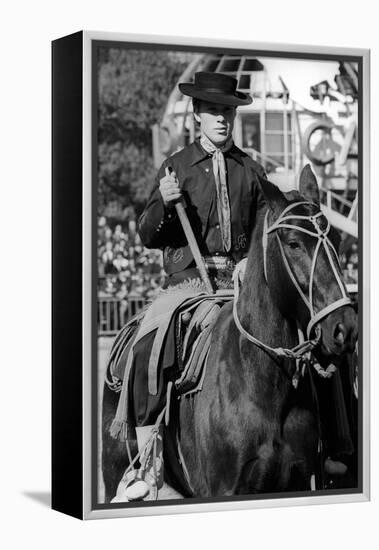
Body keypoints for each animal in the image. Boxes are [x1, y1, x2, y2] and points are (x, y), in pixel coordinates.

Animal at [101, 166, 360, 502]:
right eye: (293, 243)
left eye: (338, 240)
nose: (345, 326)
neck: (263, 382)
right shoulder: (225, 486)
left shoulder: (301, 479)